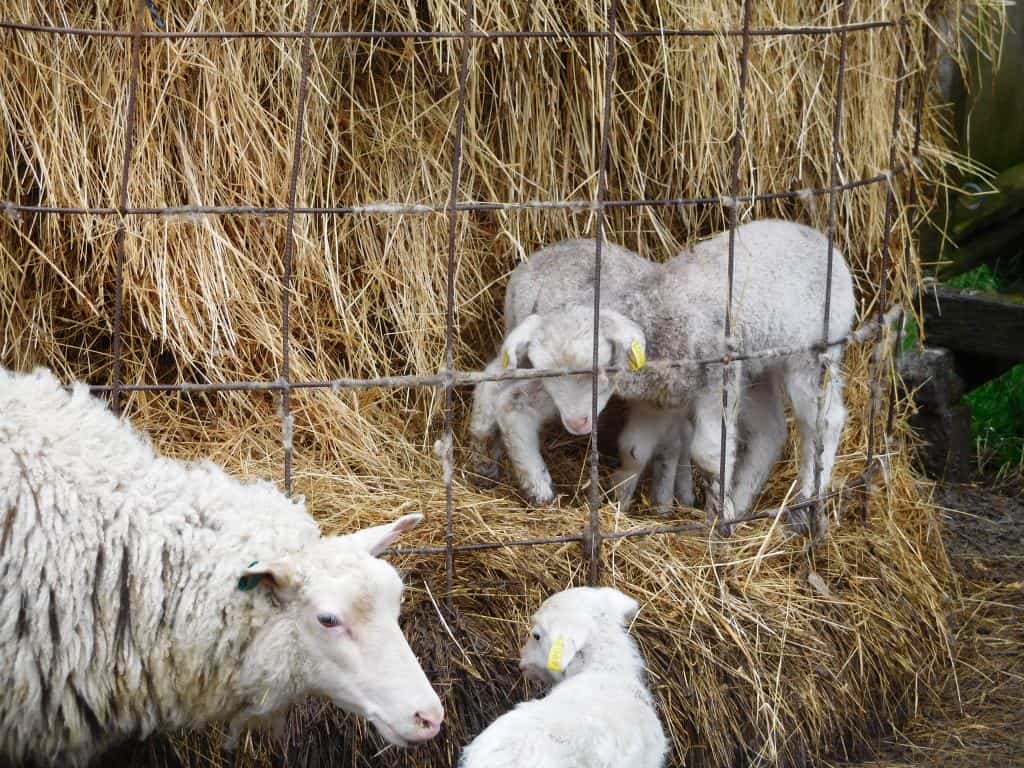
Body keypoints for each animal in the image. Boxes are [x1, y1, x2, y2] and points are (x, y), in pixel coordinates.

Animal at [469, 238, 694, 512]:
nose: (578, 424)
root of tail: (533, 274)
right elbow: (672, 444)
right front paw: (666, 500)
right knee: (513, 403)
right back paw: (538, 486)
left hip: (520, 339)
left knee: (491, 381)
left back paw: (483, 455)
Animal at [498, 219, 857, 537]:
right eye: (544, 369)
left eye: (601, 367)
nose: (578, 424)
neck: (660, 310)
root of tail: (820, 239)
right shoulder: (660, 397)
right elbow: (634, 449)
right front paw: (619, 504)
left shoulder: (718, 374)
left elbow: (710, 452)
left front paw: (717, 517)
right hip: (759, 365)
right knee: (770, 430)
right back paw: (744, 502)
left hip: (814, 351)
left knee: (826, 420)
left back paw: (806, 500)